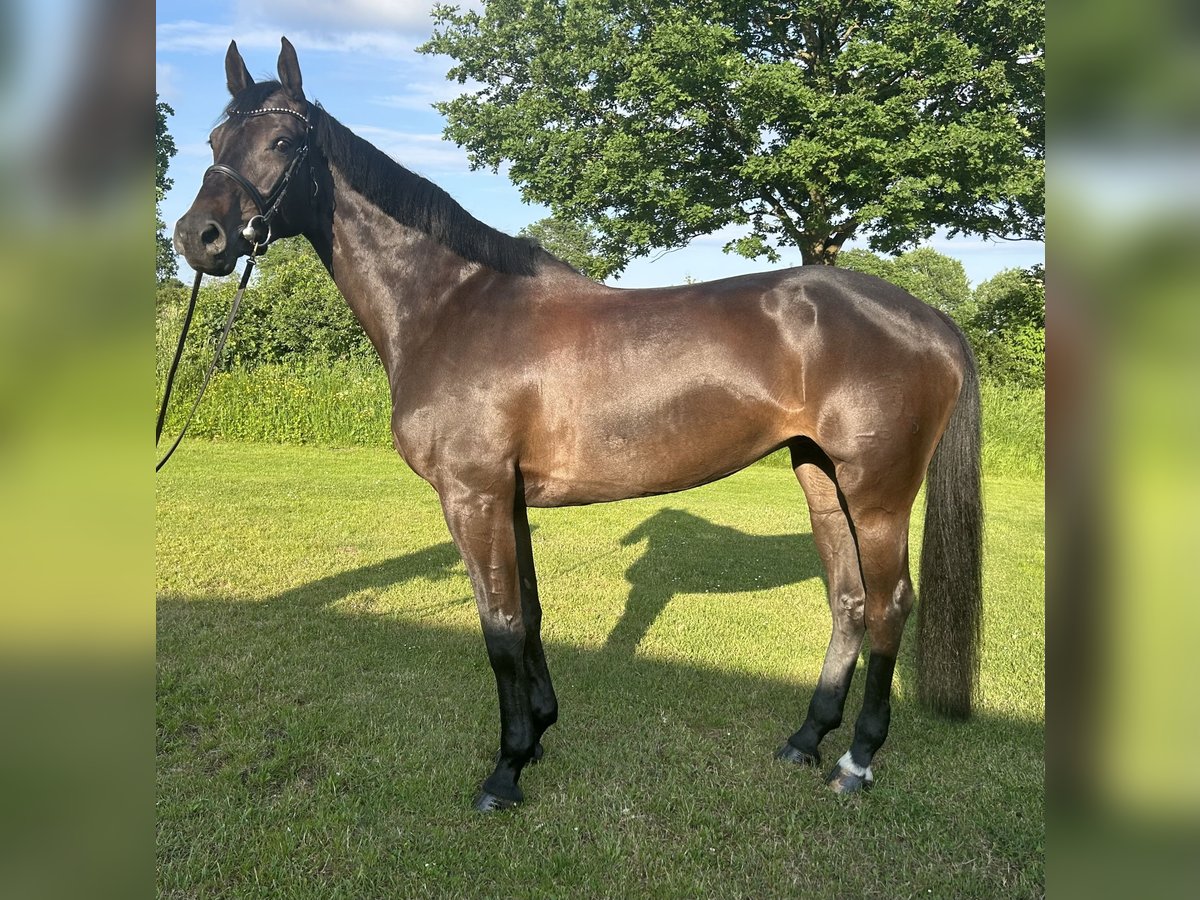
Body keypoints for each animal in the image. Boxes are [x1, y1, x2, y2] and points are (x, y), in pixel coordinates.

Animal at [174, 38, 979, 816]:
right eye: (214, 137)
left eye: (282, 139)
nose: (199, 236)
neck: (451, 307)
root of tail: (930, 318)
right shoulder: (507, 498)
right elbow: (527, 612)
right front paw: (536, 735)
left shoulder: (472, 496)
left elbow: (498, 627)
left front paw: (504, 772)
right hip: (820, 477)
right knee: (848, 601)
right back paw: (807, 739)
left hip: (878, 494)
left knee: (888, 607)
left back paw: (857, 762)